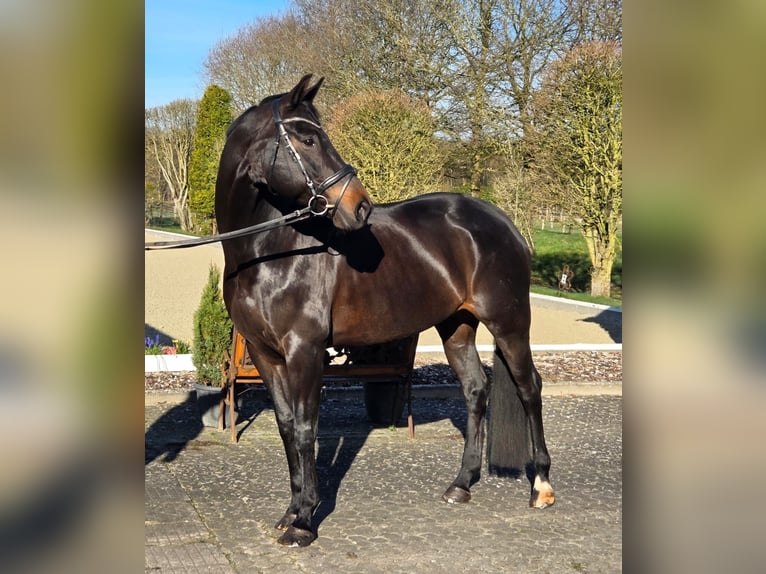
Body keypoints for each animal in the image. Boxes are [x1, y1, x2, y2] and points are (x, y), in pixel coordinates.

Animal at [215, 74, 555, 547]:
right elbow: (286, 427)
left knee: (529, 388)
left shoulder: (305, 350)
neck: (268, 253)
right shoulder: (266, 355)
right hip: (457, 326)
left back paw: (541, 487)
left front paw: (304, 521)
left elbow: (305, 429)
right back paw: (461, 484)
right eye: (307, 138)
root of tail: (502, 220)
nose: (360, 206)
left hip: (509, 323)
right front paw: (291, 513)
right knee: (475, 390)